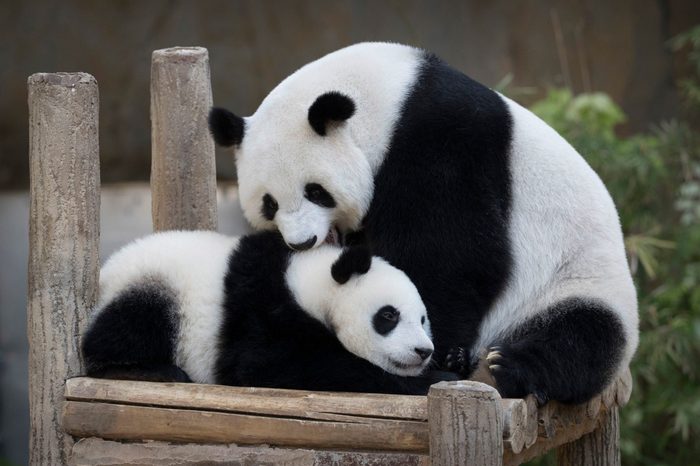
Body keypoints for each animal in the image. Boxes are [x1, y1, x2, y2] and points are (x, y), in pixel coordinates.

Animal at [80, 229, 448, 394]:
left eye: (423, 319)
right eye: (388, 316)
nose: (424, 351)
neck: (308, 279)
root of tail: (104, 274)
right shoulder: (262, 308)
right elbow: (275, 365)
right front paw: (436, 378)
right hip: (155, 285)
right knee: (130, 326)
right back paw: (149, 371)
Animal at [209, 42, 640, 404]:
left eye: (316, 191)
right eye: (269, 204)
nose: (302, 242)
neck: (389, 99)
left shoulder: (444, 144)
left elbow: (451, 254)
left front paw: (436, 348)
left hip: (574, 281)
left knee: (581, 337)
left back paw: (506, 368)